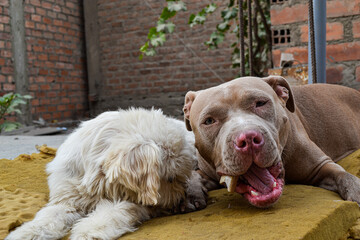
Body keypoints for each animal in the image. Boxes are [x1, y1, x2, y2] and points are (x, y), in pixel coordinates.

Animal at [5, 108, 204, 239]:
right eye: (170, 179)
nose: (179, 198)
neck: (99, 180)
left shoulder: (133, 200)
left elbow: (113, 211)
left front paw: (90, 231)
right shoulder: (67, 201)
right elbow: (48, 217)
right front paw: (26, 232)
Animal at [184, 76, 358, 207]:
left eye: (260, 103)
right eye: (209, 121)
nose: (248, 138)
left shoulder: (321, 165)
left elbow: (343, 175)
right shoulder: (207, 172)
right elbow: (193, 174)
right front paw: (189, 194)